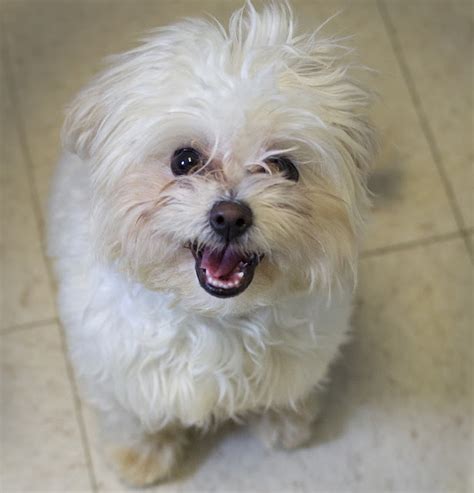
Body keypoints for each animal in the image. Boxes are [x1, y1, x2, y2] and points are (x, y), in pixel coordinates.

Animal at [48, 1, 374, 486]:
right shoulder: (114, 361)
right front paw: (140, 456)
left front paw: (286, 422)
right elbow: (131, 411)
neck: (215, 319)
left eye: (283, 167)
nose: (230, 217)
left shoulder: (307, 348)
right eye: (184, 160)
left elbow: (291, 388)